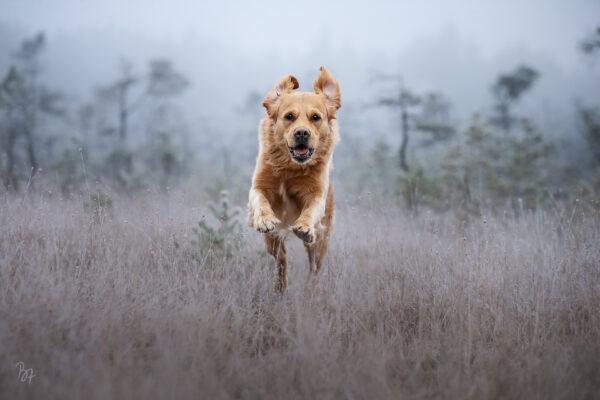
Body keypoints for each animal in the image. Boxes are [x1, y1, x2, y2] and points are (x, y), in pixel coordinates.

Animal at [248, 65, 342, 290]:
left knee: (314, 266)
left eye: (315, 117)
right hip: (272, 243)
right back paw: (280, 285)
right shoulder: (259, 185)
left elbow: (311, 210)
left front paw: (304, 227)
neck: (290, 167)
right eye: (289, 116)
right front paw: (265, 219)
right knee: (280, 258)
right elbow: (260, 200)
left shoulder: (316, 193)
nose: (302, 133)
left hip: (320, 243)